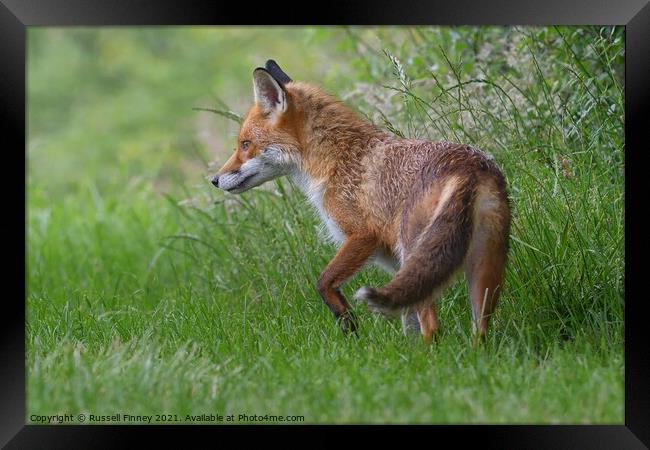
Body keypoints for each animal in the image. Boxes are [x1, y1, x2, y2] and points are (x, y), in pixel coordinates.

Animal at [210, 59, 508, 342]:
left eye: (245, 144)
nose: (214, 180)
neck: (337, 161)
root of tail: (468, 167)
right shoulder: (399, 268)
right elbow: (407, 320)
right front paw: (405, 356)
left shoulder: (362, 236)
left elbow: (324, 282)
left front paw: (348, 323)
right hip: (483, 269)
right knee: (479, 329)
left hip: (420, 249)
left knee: (433, 328)